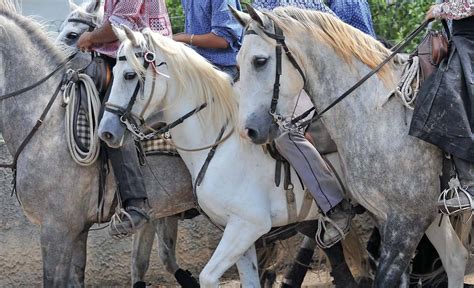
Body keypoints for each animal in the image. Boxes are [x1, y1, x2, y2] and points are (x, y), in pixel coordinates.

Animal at [231, 5, 470, 288]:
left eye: (259, 61)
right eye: (237, 64)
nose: (248, 130)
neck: (377, 110)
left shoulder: (407, 223)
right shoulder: (392, 217)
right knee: (455, 258)